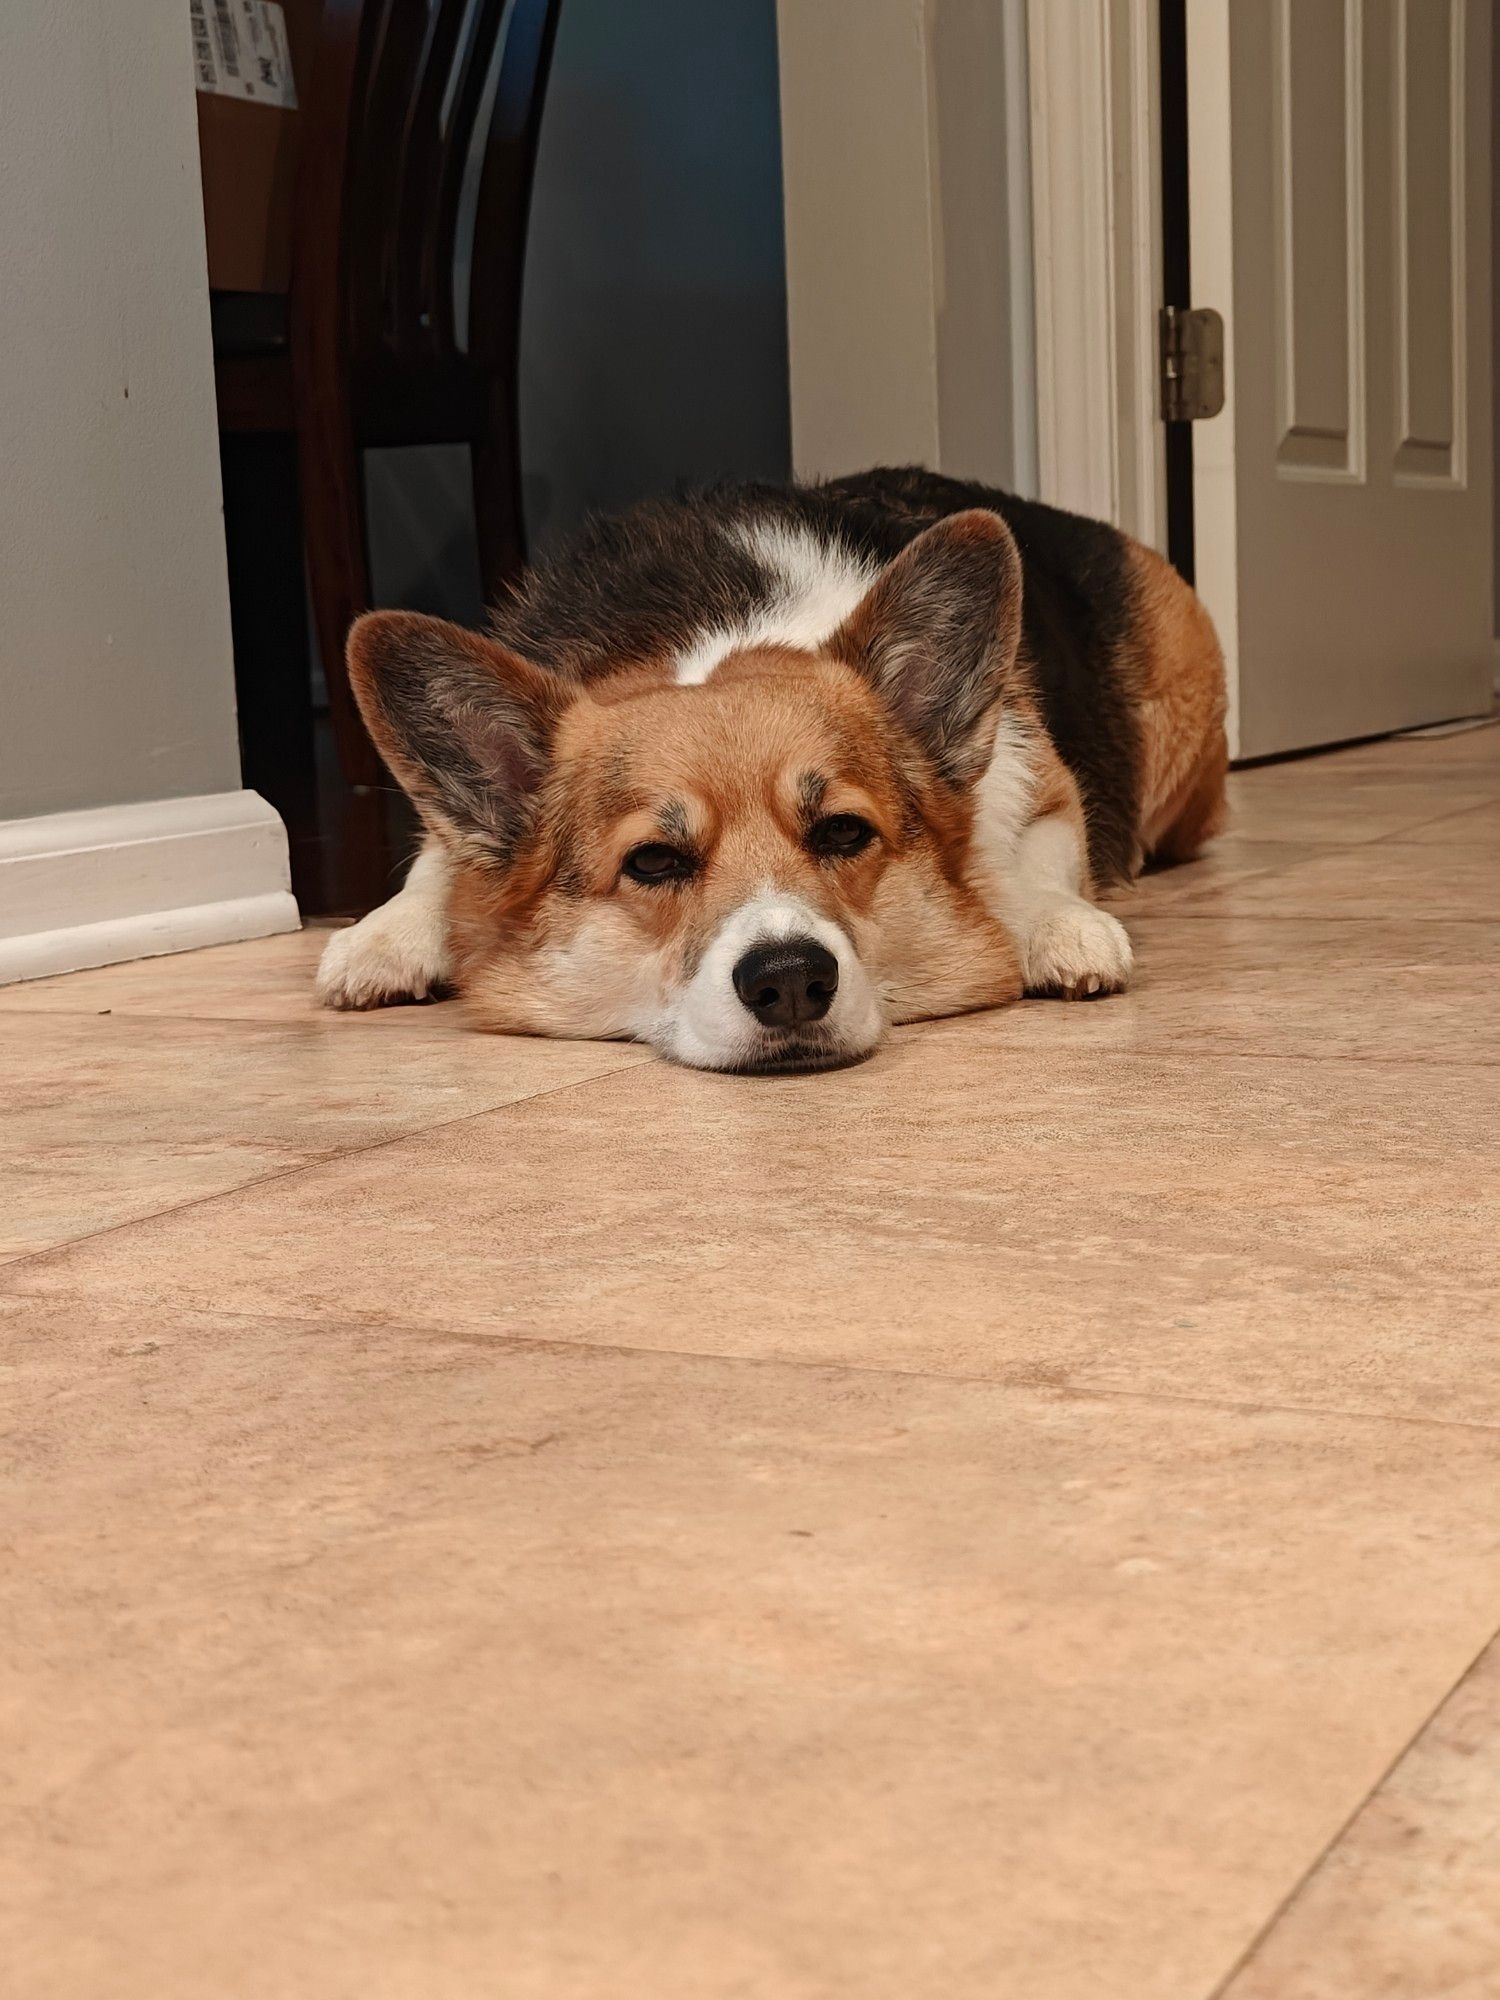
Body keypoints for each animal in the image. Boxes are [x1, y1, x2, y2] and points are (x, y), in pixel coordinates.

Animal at [320, 464, 1232, 1080]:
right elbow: (439, 860)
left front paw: (1056, 925)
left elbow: (1029, 862)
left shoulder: (1043, 785)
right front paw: (385, 935)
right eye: (653, 861)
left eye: (843, 832)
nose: (790, 982)